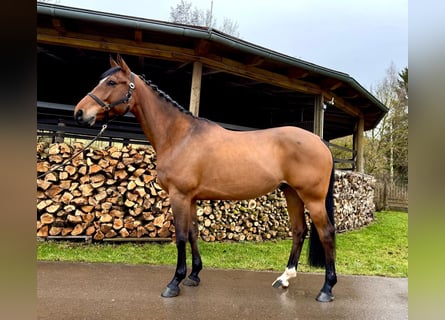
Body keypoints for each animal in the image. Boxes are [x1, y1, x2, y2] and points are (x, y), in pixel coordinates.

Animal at [73, 55, 336, 302]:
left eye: (111, 82)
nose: (79, 113)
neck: (180, 136)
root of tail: (319, 141)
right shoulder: (191, 198)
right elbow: (192, 233)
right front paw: (194, 275)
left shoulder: (179, 196)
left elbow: (180, 236)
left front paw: (174, 282)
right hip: (291, 193)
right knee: (299, 231)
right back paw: (284, 278)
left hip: (312, 198)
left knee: (326, 233)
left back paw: (326, 289)